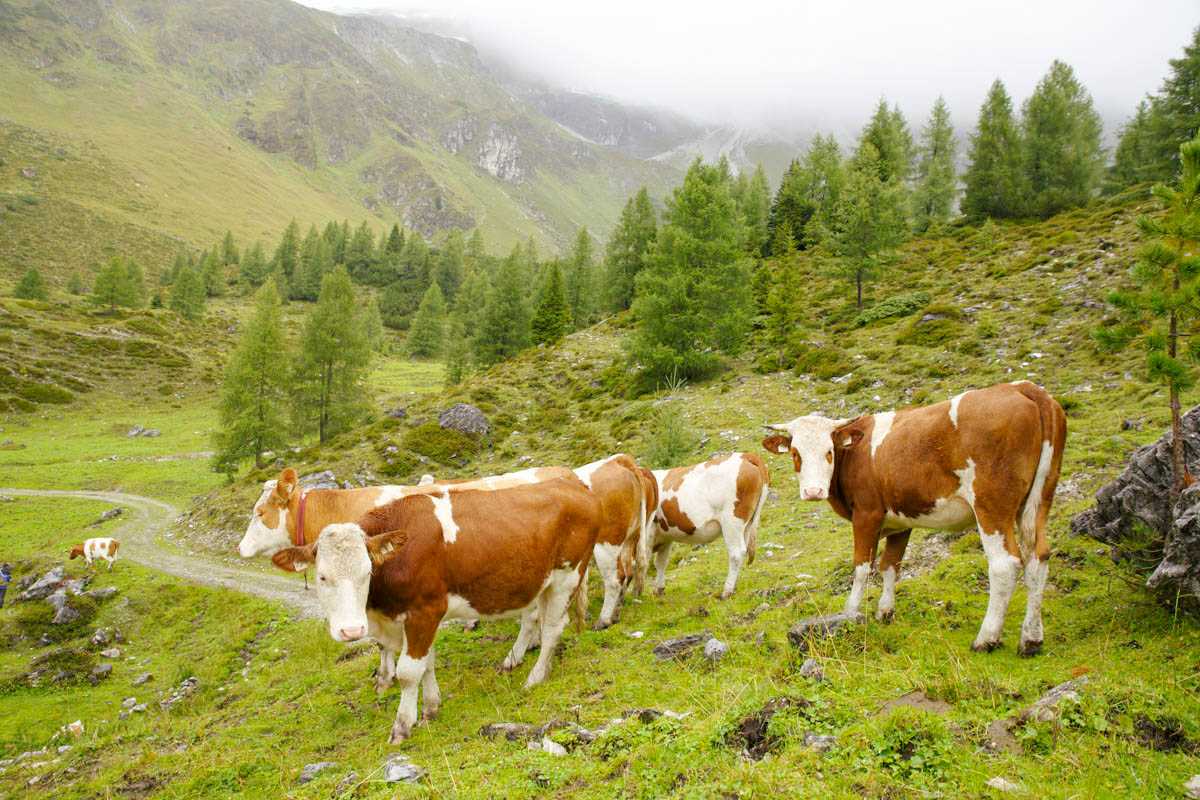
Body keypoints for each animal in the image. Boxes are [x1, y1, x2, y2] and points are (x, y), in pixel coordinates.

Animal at [274, 474, 604, 743]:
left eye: (367, 572)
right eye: (322, 576)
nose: (351, 630)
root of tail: (575, 486)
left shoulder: (424, 611)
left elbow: (409, 672)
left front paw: (402, 726)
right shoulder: (418, 618)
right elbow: (427, 664)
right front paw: (431, 708)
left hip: (567, 576)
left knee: (552, 629)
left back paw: (535, 678)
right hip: (541, 583)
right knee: (539, 620)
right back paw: (526, 665)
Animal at [648, 453, 768, 597]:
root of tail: (745, 455)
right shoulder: (665, 537)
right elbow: (660, 563)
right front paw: (658, 590)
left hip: (732, 522)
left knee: (736, 553)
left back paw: (727, 591)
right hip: (747, 524)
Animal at [763, 381, 1065, 657]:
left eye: (829, 451)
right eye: (795, 453)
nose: (813, 492)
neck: (855, 454)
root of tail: (1023, 387)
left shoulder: (867, 514)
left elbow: (862, 567)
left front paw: (849, 615)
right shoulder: (900, 520)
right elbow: (890, 566)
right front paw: (885, 612)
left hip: (991, 505)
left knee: (1004, 565)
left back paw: (986, 638)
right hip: (1039, 500)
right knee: (1038, 558)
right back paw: (1031, 639)